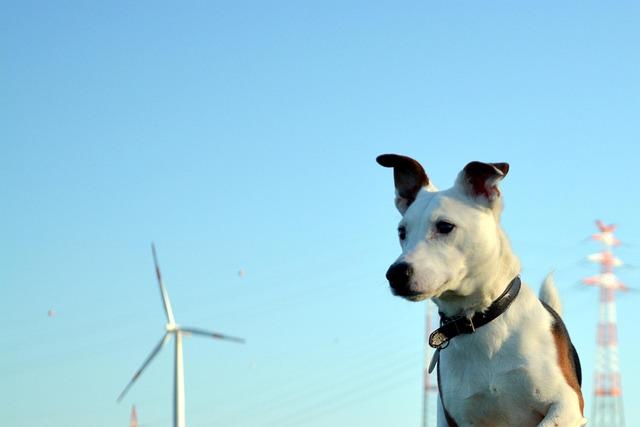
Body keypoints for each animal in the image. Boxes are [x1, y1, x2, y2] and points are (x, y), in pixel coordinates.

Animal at [378, 155, 588, 427]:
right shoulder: (458, 418)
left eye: (445, 226)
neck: (480, 319)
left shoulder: (567, 404)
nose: (395, 274)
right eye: (402, 232)